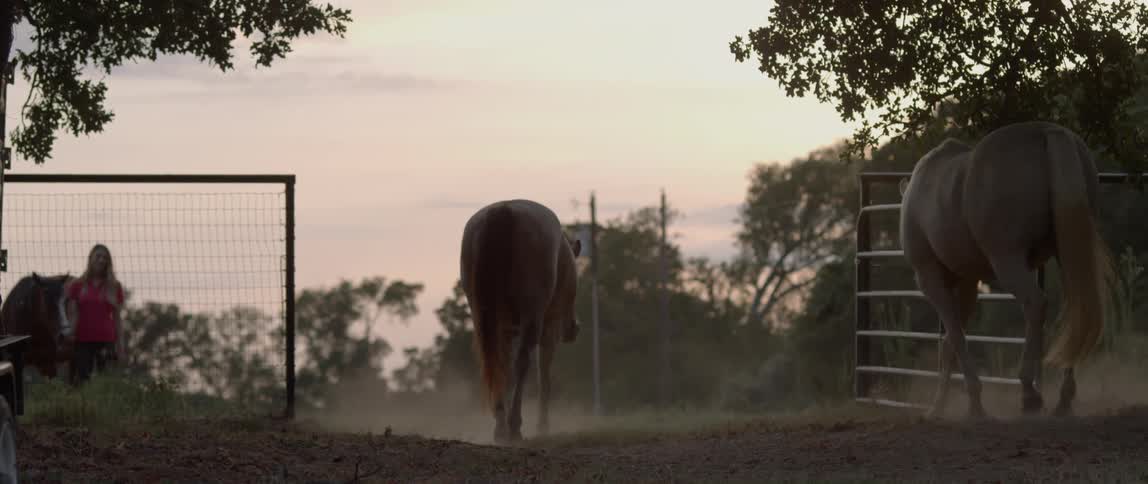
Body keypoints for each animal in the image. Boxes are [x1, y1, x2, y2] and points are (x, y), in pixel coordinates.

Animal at [460, 199, 581, 443]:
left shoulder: (507, 329)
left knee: (499, 363)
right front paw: (542, 426)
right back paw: (514, 426)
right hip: (533, 318)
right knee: (522, 362)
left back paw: (501, 426)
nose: (574, 327)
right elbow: (544, 378)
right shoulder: (549, 329)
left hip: (484, 318)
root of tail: (503, 210)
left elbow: (504, 368)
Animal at [900, 120, 1115, 419]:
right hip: (1068, 251)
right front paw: (944, 404)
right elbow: (952, 341)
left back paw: (1029, 393)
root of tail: (1045, 131)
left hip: (1008, 262)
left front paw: (967, 404)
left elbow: (955, 336)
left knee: (1035, 303)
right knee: (1078, 307)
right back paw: (1063, 399)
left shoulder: (930, 280)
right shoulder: (967, 284)